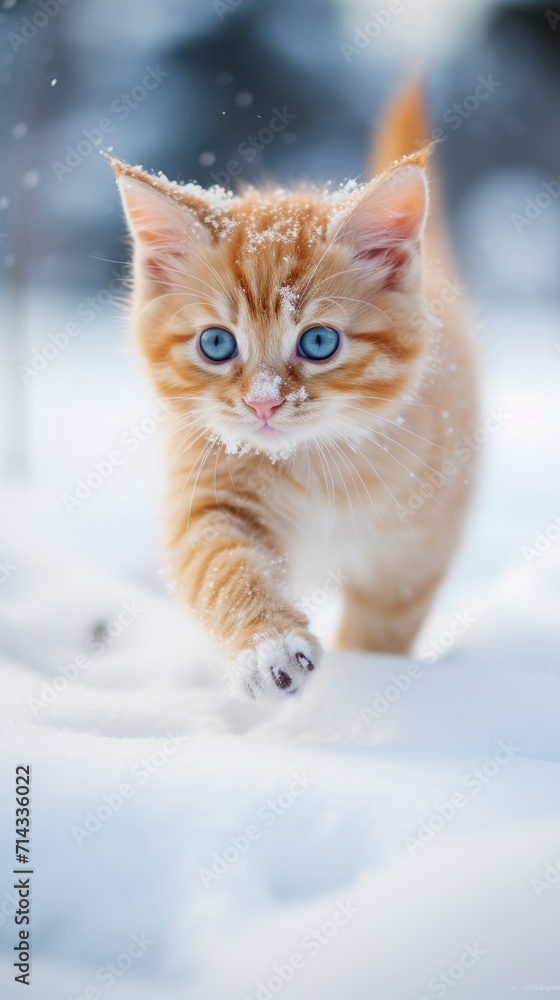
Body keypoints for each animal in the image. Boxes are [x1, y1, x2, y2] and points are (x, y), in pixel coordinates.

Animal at [109, 82, 476, 700]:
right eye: (216, 343)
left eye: (320, 341)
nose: (263, 402)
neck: (317, 464)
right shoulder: (207, 491)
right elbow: (222, 567)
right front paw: (270, 646)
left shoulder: (414, 549)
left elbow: (383, 624)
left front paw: (367, 682)